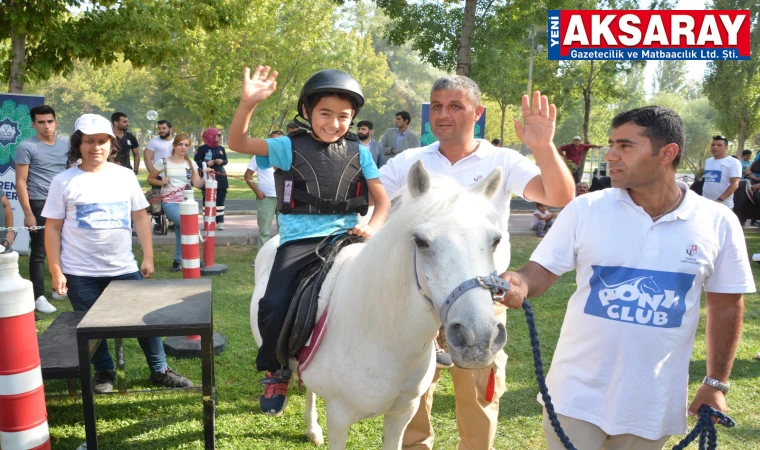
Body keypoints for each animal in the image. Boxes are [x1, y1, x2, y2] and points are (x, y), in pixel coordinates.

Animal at [252, 163, 508, 450]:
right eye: (421, 241)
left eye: (496, 240)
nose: (478, 340)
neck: (381, 335)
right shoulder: (339, 417)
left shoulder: (403, 412)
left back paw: (312, 430)